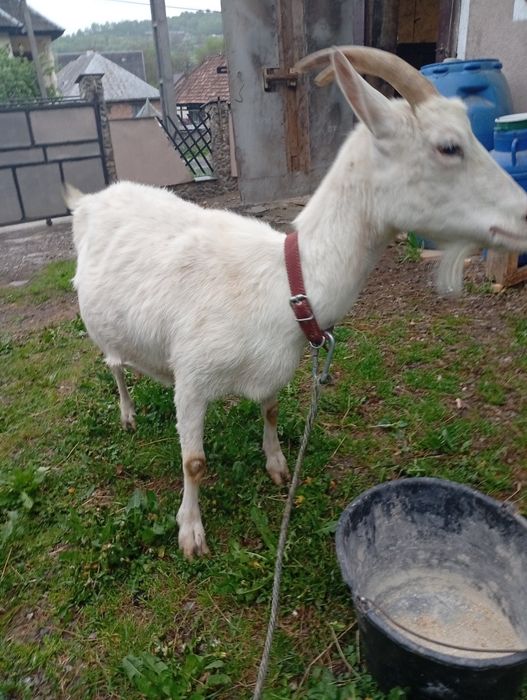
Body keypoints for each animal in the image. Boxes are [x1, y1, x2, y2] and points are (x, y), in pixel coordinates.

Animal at [65, 47, 527, 557]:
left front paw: (278, 466)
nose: (525, 214)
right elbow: (193, 462)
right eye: (449, 147)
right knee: (114, 366)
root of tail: (87, 201)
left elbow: (269, 411)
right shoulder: (191, 378)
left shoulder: (271, 370)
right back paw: (127, 414)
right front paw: (190, 532)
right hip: (101, 329)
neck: (286, 281)